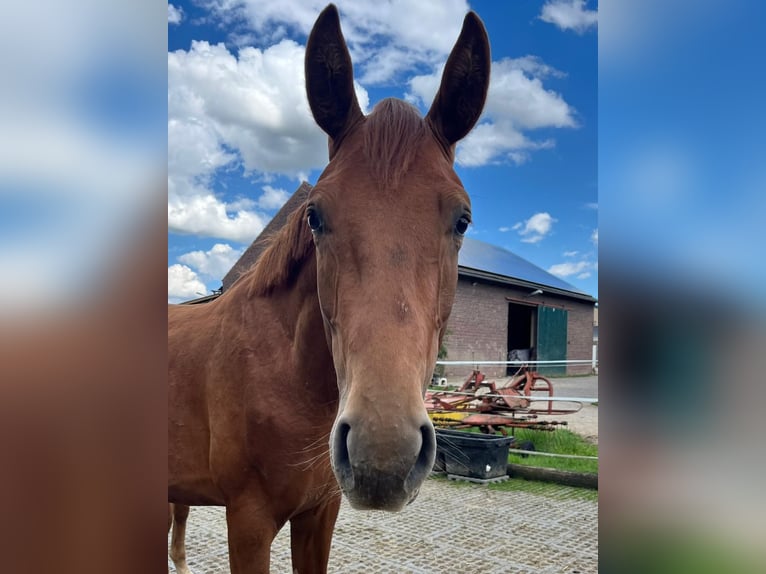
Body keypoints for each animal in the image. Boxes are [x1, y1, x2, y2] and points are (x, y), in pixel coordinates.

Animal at [169, 3, 492, 572]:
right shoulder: (247, 522)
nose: (382, 453)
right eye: (316, 215)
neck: (278, 370)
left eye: (462, 220)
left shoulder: (320, 514)